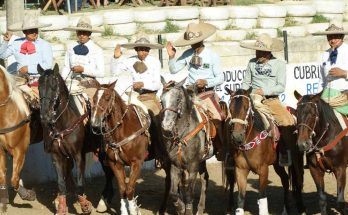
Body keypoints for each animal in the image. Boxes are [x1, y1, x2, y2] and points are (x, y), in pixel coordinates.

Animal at [89, 81, 150, 215]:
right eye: (94, 98)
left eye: (107, 97)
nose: (95, 123)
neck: (124, 130)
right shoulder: (115, 163)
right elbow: (123, 189)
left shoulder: (137, 163)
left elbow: (130, 189)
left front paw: (133, 211)